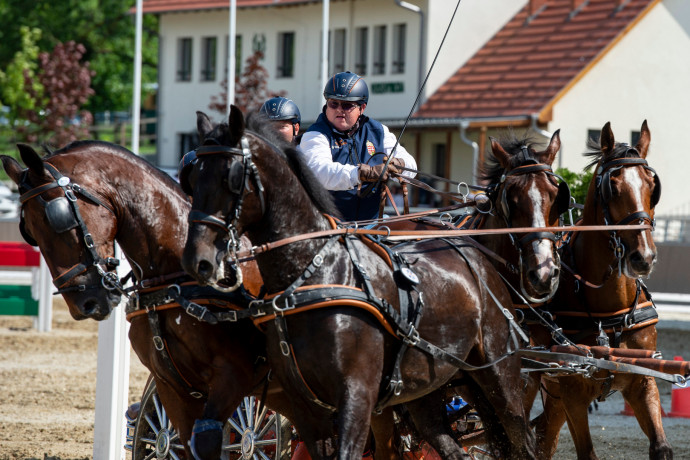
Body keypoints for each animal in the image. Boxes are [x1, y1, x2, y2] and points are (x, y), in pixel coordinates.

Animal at [180, 108, 536, 460]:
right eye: (192, 179)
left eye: (231, 177)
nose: (197, 259)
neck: (315, 275)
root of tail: (476, 255)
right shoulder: (307, 407)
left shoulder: (357, 395)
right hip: (427, 385)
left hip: (499, 374)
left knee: (521, 438)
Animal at [528, 120, 668, 458]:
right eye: (612, 187)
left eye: (652, 186)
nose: (643, 256)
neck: (609, 312)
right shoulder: (573, 393)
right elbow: (587, 452)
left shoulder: (643, 383)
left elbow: (661, 447)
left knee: (543, 439)